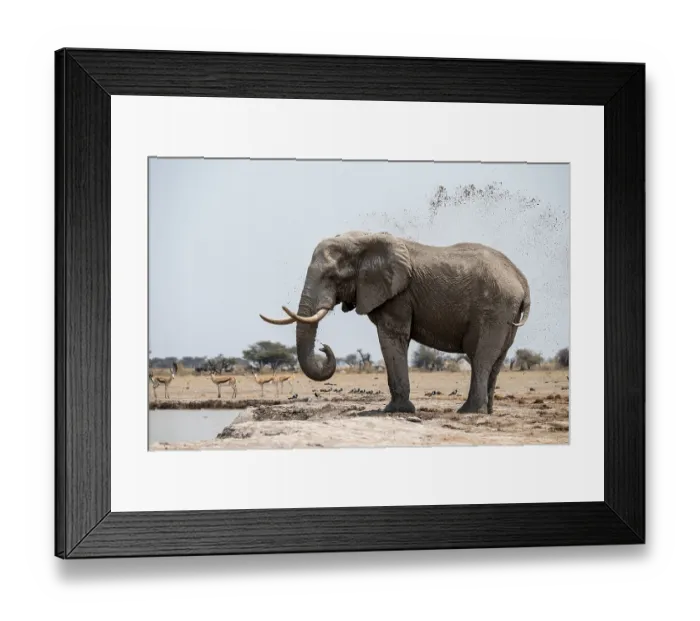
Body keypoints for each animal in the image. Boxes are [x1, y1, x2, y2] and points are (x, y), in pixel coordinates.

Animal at [260, 231, 530, 415]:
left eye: (332, 276)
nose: (324, 347)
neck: (364, 240)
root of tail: (521, 280)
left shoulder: (398, 296)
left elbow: (392, 337)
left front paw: (395, 410)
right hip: (506, 314)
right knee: (496, 359)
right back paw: (486, 411)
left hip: (494, 308)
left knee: (480, 357)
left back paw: (469, 411)